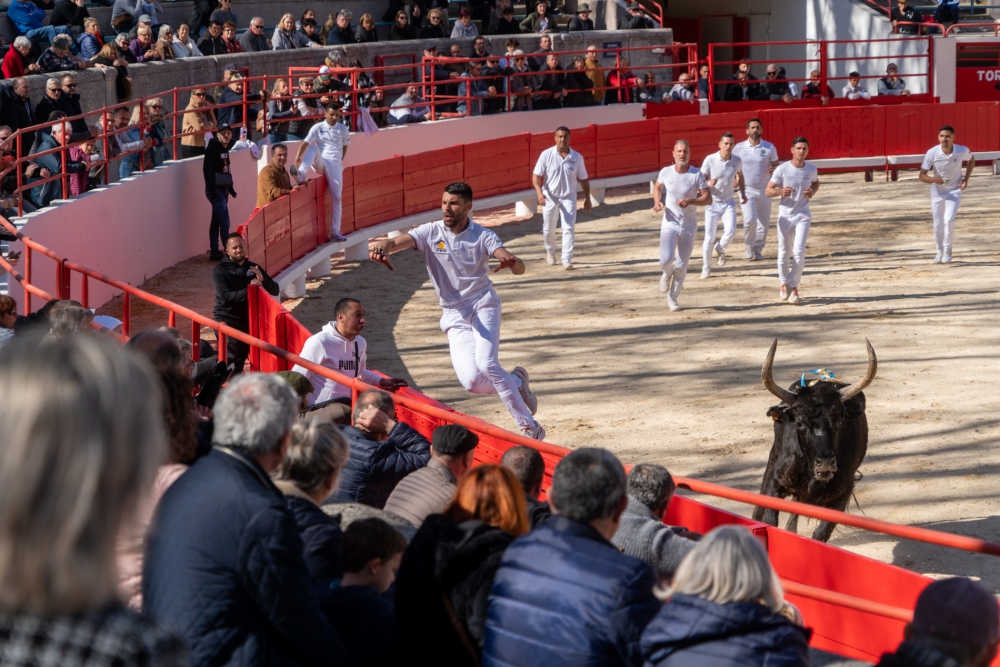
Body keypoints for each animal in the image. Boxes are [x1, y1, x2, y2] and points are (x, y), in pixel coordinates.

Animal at [752, 340, 876, 544]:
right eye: (799, 422)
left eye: (839, 420)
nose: (825, 463)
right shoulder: (777, 484)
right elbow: (769, 517)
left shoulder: (841, 496)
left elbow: (821, 534)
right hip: (773, 457)